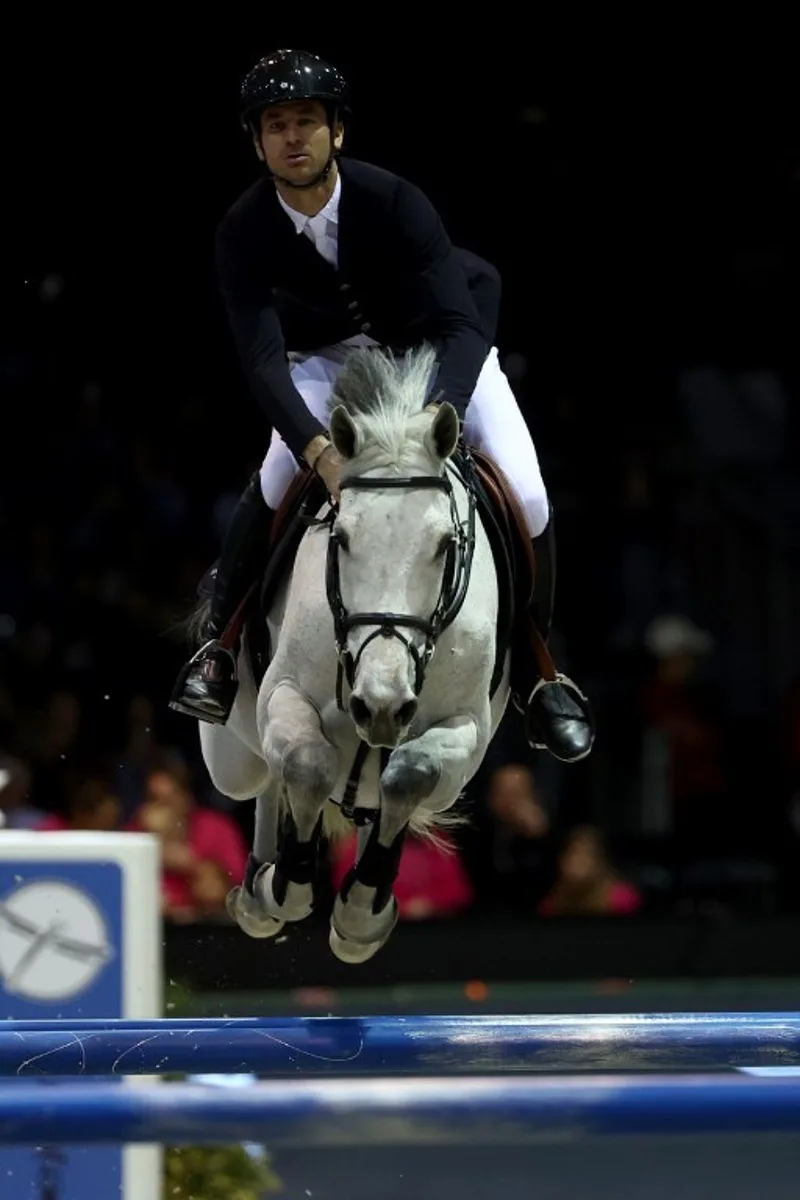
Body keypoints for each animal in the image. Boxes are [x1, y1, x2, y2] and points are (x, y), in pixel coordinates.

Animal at [200, 343, 513, 960]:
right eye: (340, 537)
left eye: (445, 544)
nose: (381, 704)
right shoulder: (285, 694)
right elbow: (306, 764)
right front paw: (282, 886)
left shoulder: (463, 728)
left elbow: (408, 775)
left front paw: (361, 913)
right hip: (232, 758)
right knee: (264, 779)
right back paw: (255, 893)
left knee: (379, 796)